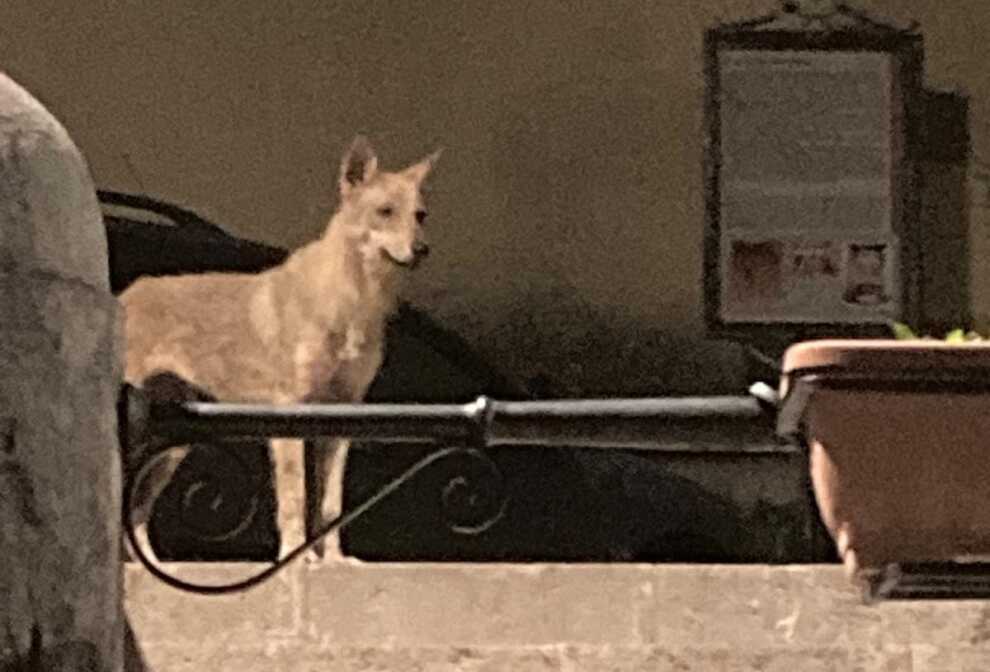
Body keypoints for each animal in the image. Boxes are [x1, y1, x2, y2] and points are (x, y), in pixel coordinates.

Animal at [121, 136, 439, 560]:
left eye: (420, 215)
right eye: (385, 212)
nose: (422, 249)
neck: (355, 302)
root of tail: (122, 294)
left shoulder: (344, 413)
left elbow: (330, 506)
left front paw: (334, 561)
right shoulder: (290, 412)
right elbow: (294, 503)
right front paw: (296, 559)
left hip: (169, 446)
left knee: (136, 510)